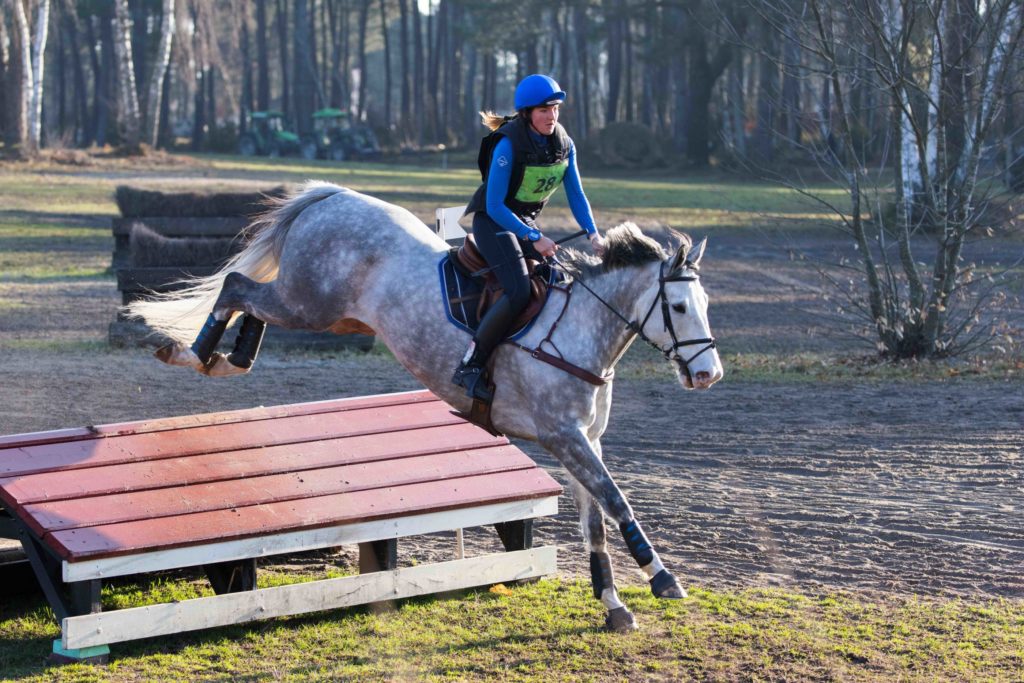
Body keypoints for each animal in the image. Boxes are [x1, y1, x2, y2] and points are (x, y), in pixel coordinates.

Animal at [128, 183, 724, 634]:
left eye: (705, 304)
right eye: (676, 306)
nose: (708, 375)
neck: (581, 328)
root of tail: (333, 196)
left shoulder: (583, 440)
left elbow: (595, 519)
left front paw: (614, 605)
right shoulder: (562, 436)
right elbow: (616, 500)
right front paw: (662, 578)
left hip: (326, 312)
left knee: (253, 300)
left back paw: (226, 359)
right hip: (310, 303)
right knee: (236, 286)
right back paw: (192, 352)